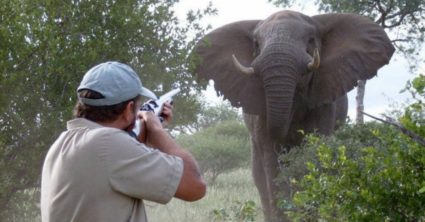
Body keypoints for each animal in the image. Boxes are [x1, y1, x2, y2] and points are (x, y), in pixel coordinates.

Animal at [190, 10, 392, 222]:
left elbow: (312, 154)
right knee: (259, 175)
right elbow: (270, 159)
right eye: (256, 44)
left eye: (311, 40)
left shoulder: (324, 102)